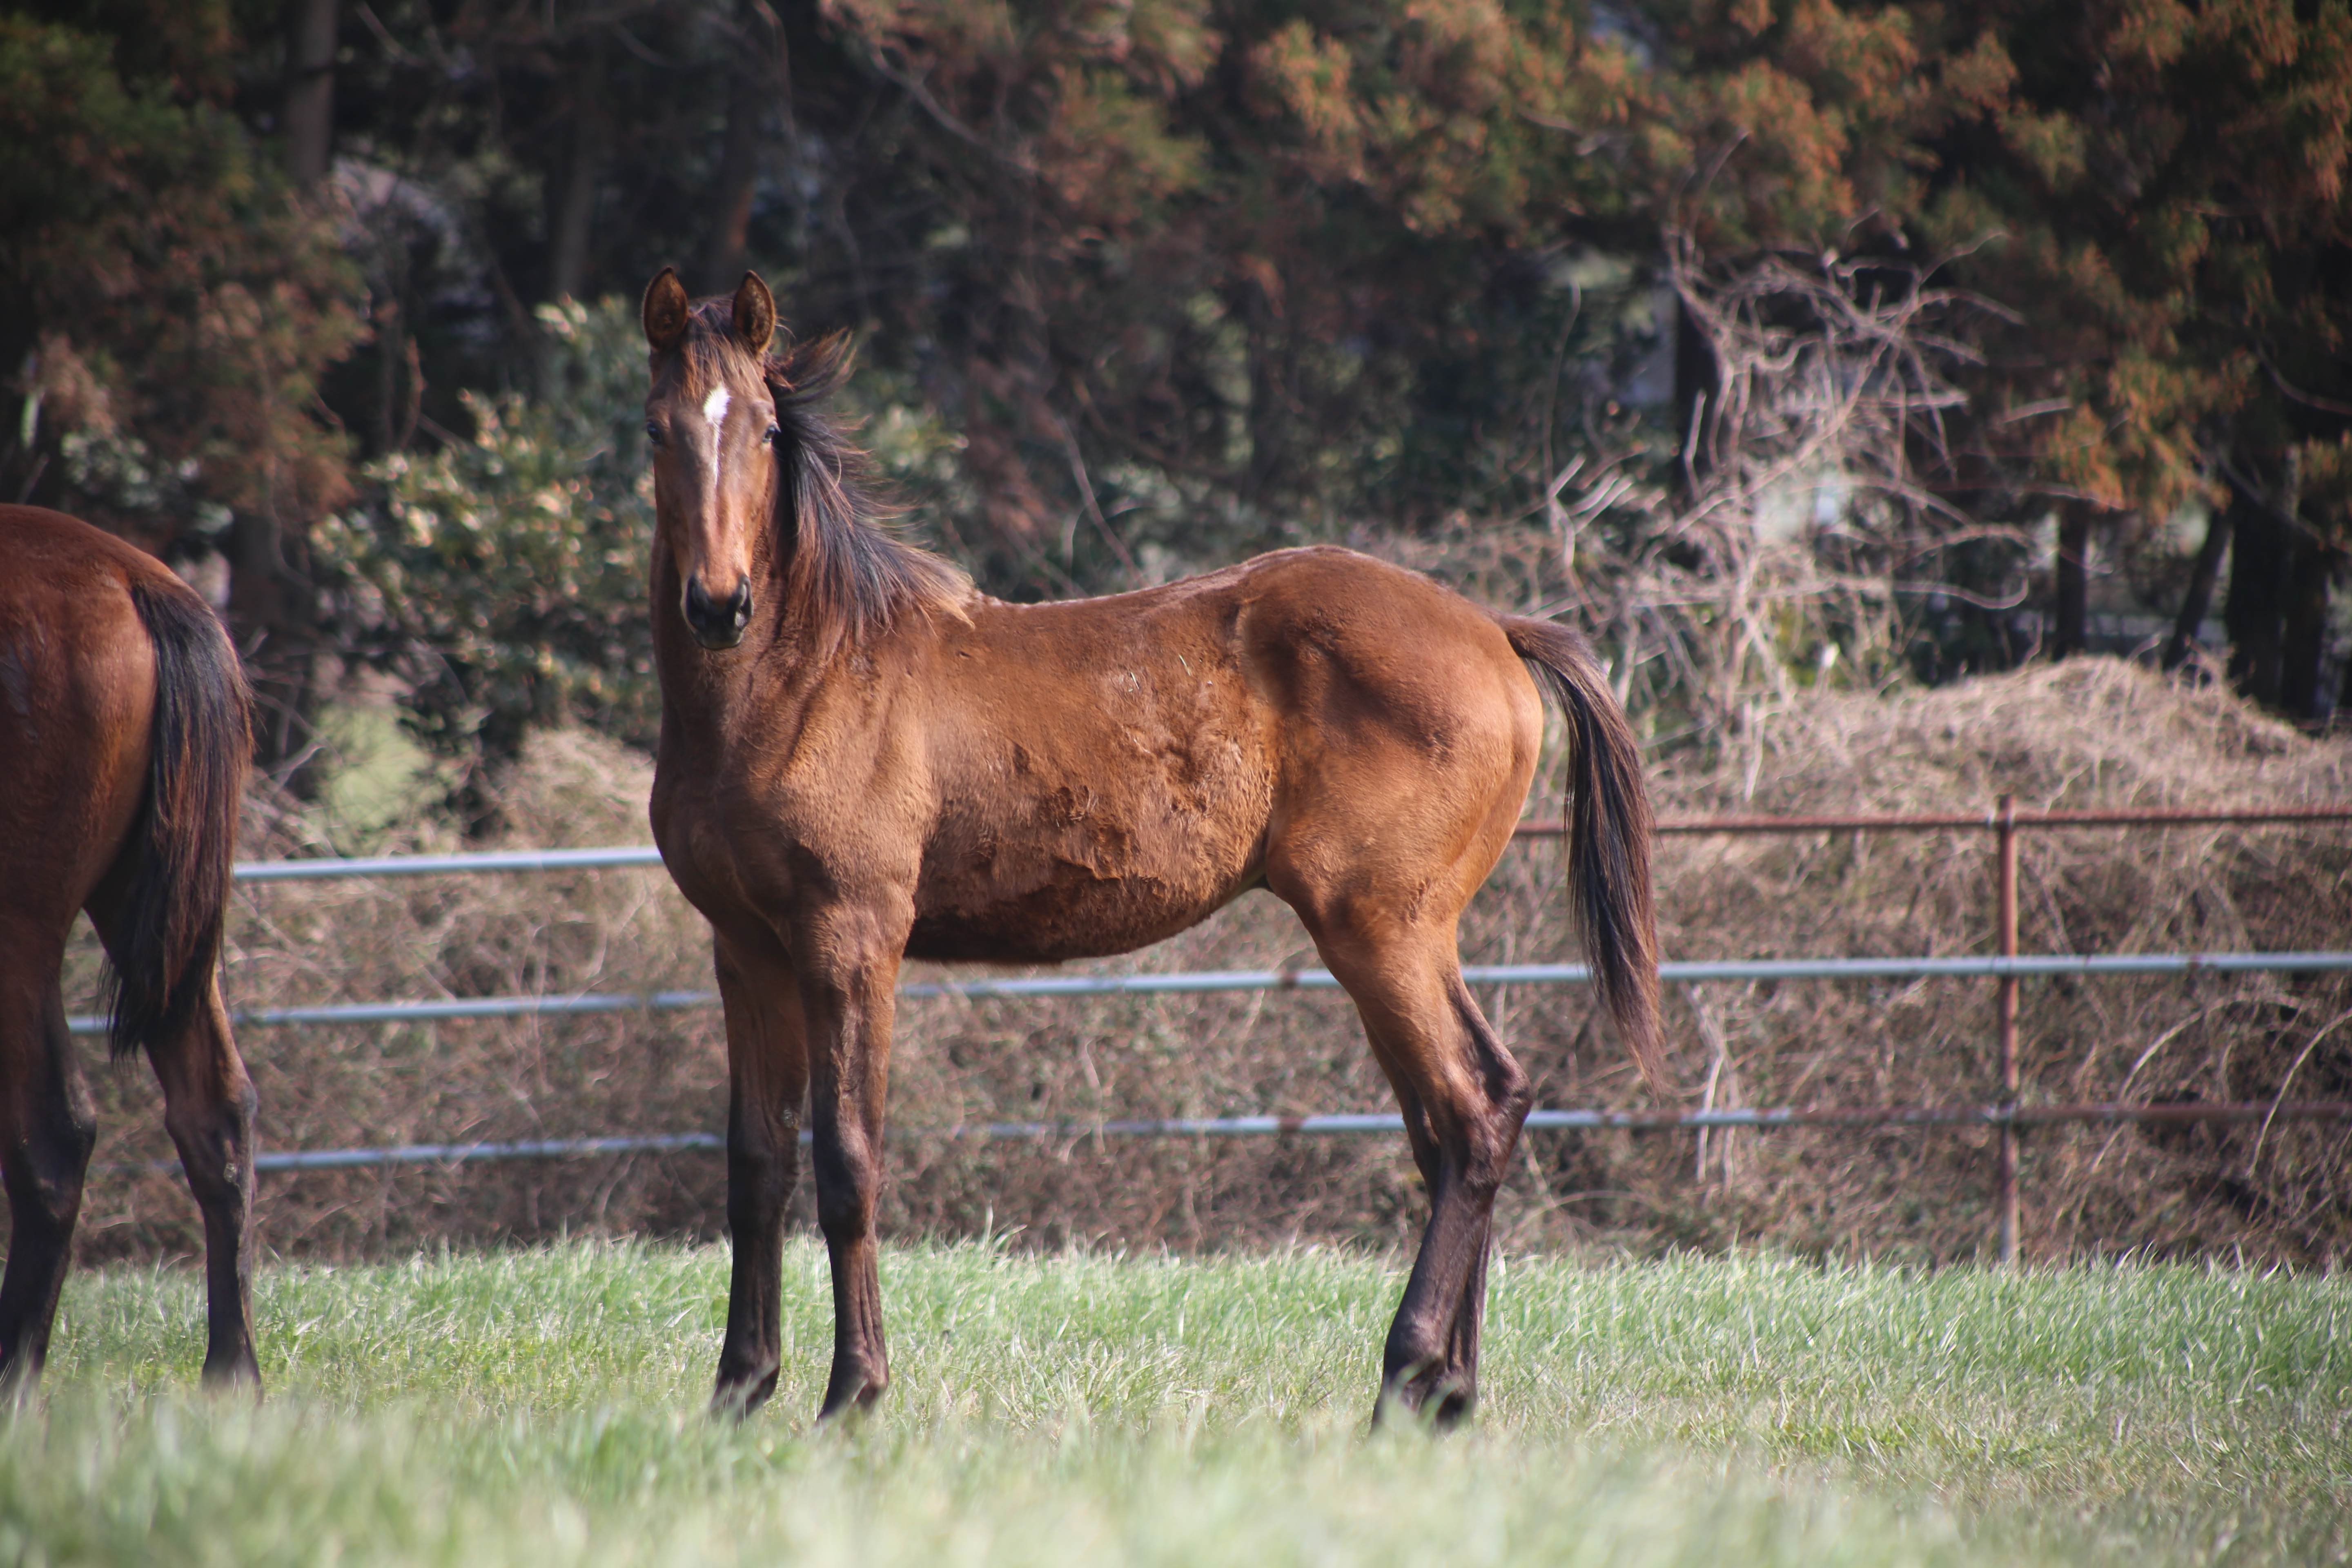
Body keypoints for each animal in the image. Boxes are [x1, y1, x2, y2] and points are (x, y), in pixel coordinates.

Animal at [0, 510, 260, 1392]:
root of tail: (133, 581)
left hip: (22, 931)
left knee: (52, 1139)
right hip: (170, 927)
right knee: (216, 1113)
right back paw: (233, 1374)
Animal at [639, 267, 1675, 1420]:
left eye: (768, 431)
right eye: (657, 427)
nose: (719, 604)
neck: (809, 676)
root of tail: (1496, 629)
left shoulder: (849, 940)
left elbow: (846, 1162)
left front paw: (852, 1393)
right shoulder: (747, 950)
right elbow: (755, 1167)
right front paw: (740, 1390)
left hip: (1380, 930)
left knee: (1476, 1111)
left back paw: (1404, 1377)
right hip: (1407, 939)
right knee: (1460, 1126)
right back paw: (1449, 1394)